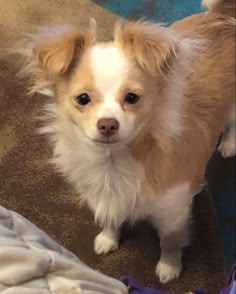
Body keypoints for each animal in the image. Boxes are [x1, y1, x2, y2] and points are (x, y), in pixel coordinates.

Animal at [13, 0, 236, 284]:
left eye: (132, 98)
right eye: (83, 99)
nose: (108, 124)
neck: (113, 161)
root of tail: (222, 16)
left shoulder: (173, 210)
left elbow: (170, 241)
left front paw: (169, 267)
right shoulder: (103, 192)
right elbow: (109, 216)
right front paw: (108, 239)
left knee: (231, 122)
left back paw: (229, 144)